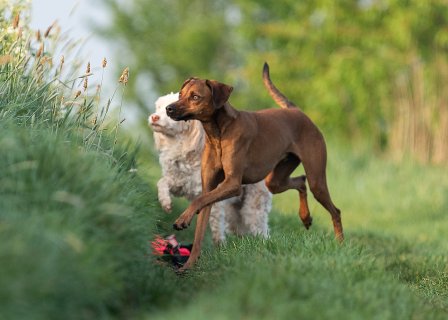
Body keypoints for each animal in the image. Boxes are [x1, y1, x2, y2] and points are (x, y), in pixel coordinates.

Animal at [150, 92, 272, 242]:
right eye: (159, 107)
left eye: (168, 109)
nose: (154, 117)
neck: (182, 147)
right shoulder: (179, 183)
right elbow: (162, 182)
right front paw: (165, 203)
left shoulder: (212, 200)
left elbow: (215, 227)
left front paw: (219, 245)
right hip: (233, 210)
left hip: (253, 206)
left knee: (259, 227)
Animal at [166, 62, 342, 270]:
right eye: (180, 94)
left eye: (195, 97)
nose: (168, 109)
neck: (218, 133)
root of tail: (296, 111)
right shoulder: (209, 187)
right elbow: (199, 227)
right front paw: (189, 266)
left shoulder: (233, 184)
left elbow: (197, 201)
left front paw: (182, 219)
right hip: (275, 181)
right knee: (300, 181)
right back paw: (305, 217)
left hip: (317, 180)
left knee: (334, 210)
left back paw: (340, 244)